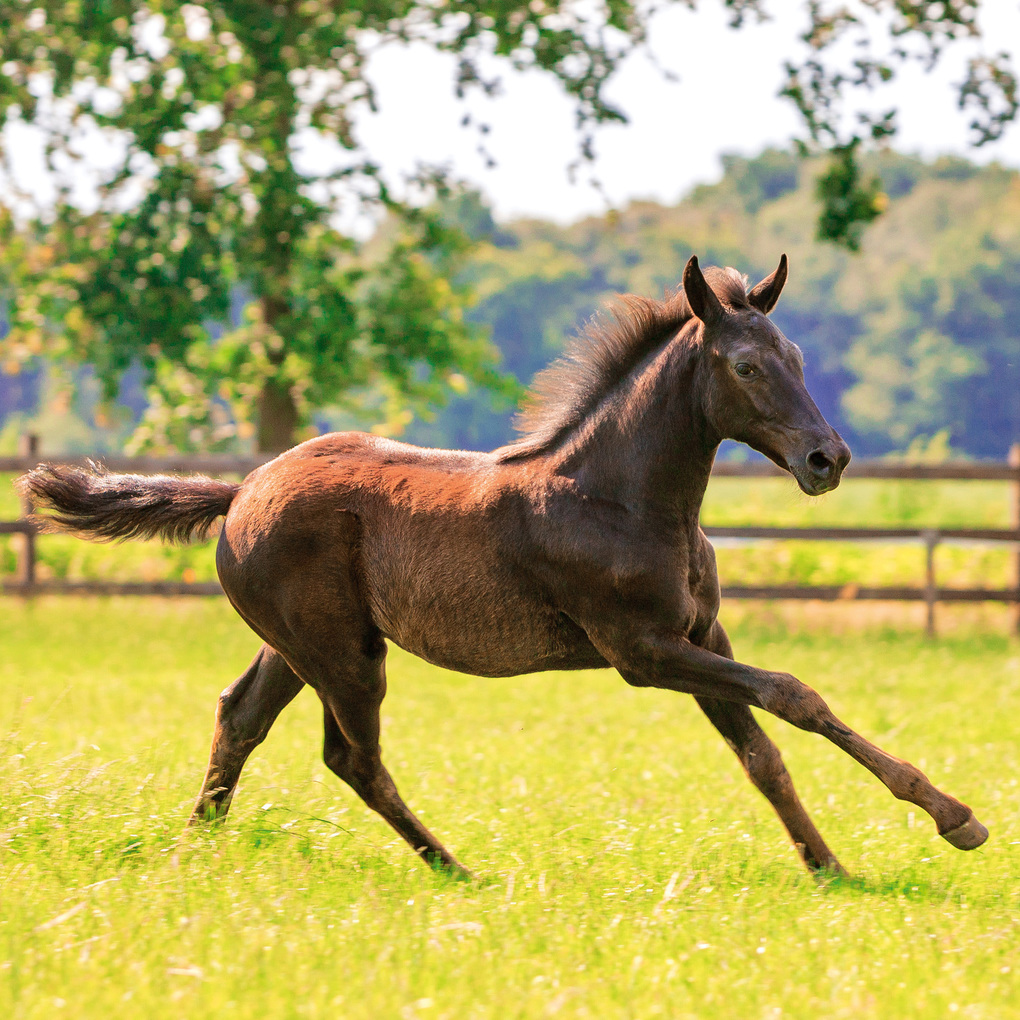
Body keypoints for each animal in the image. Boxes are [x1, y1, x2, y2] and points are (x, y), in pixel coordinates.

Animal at [18, 254, 988, 878]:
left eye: (796, 358)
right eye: (746, 366)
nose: (829, 459)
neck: (621, 499)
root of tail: (243, 487)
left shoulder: (701, 636)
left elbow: (763, 752)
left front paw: (832, 865)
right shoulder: (643, 653)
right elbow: (794, 694)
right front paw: (952, 817)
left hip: (300, 645)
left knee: (241, 716)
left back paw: (198, 847)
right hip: (342, 654)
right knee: (351, 757)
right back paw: (455, 868)